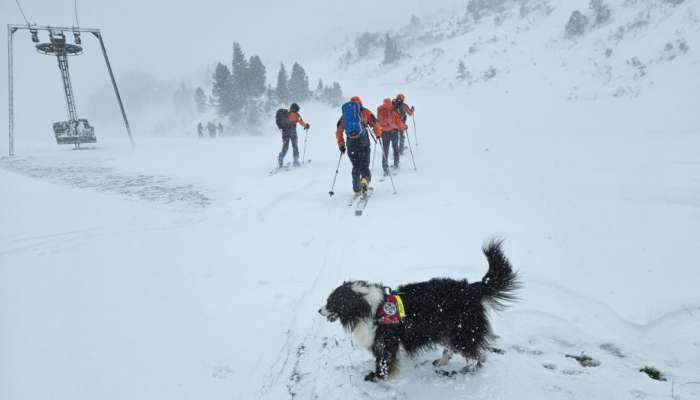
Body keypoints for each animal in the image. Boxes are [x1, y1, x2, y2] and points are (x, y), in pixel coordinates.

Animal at [318, 241, 520, 382]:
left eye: (332, 302)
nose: (319, 310)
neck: (367, 307)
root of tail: (471, 289)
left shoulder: (385, 342)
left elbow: (382, 363)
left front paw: (376, 378)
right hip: (450, 329)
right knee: (454, 348)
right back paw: (442, 362)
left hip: (462, 330)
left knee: (476, 355)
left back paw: (462, 370)